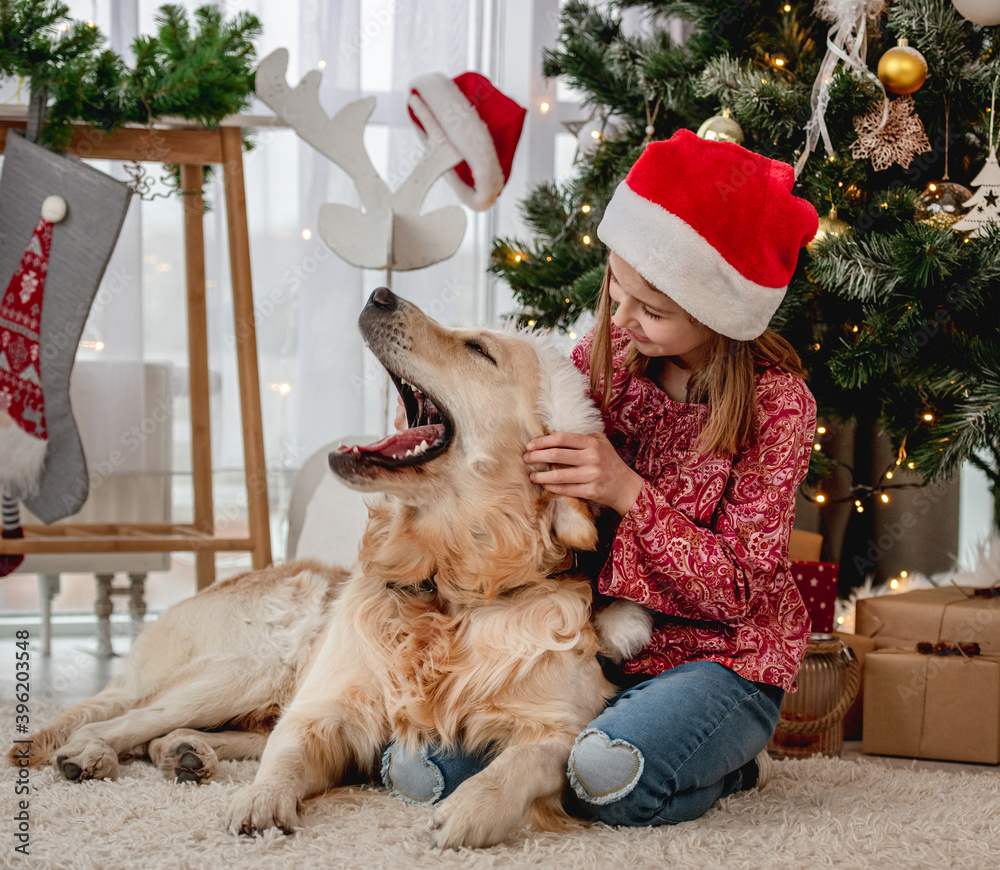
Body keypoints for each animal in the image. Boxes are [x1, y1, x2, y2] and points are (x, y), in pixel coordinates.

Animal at [21, 290, 656, 848]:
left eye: (478, 349)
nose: (379, 295)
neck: (446, 588)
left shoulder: (565, 723)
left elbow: (525, 761)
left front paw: (472, 810)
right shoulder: (323, 709)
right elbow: (286, 755)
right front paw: (261, 799)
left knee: (186, 732)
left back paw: (184, 752)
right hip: (252, 665)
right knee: (122, 719)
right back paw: (91, 753)